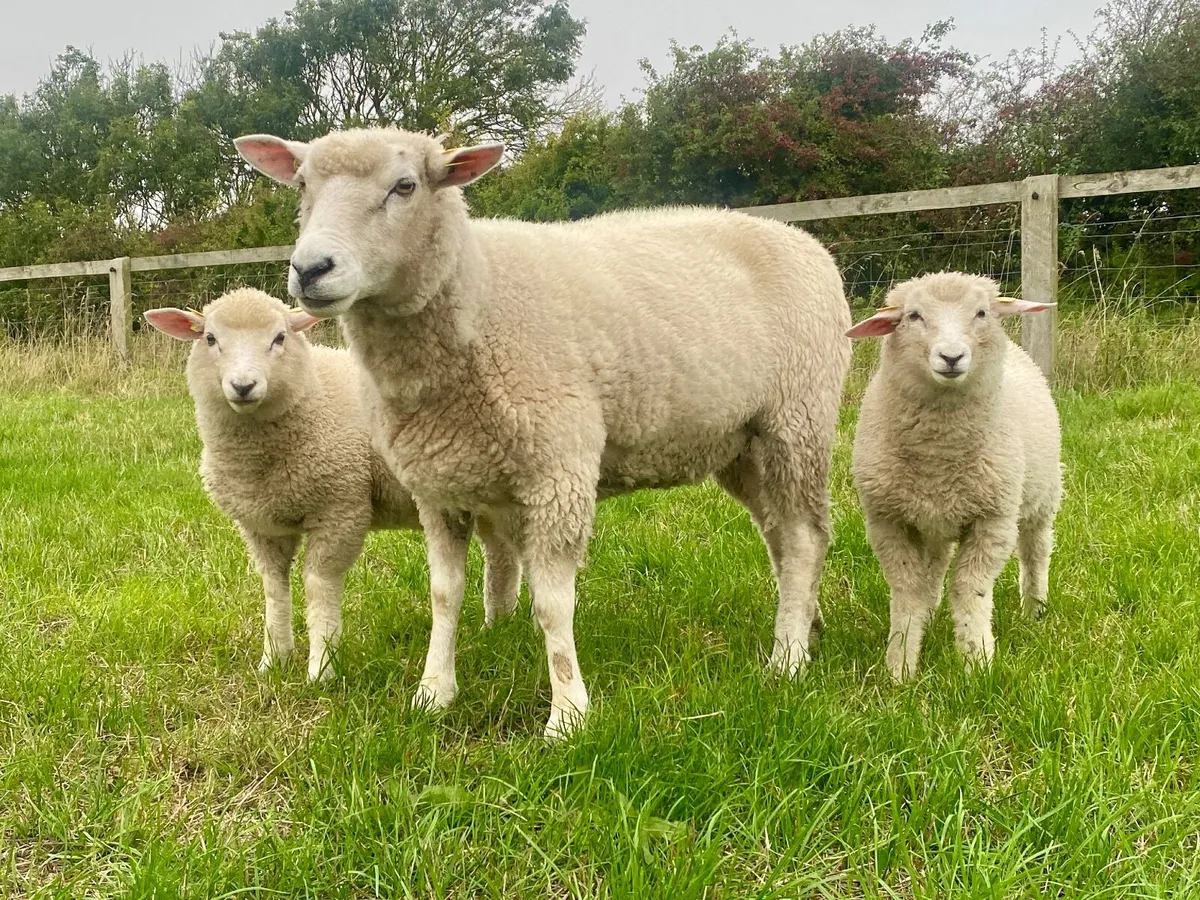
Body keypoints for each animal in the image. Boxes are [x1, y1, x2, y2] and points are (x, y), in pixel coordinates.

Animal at [144, 288, 522, 682]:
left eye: (280, 338)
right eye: (210, 339)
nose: (243, 386)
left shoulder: (341, 508)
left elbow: (318, 584)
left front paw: (321, 668)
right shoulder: (261, 525)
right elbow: (273, 587)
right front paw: (274, 659)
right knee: (502, 555)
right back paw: (498, 626)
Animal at [233, 128, 853, 738]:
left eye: (405, 186)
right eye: (302, 184)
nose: (310, 270)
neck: (480, 295)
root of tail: (805, 241)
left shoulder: (559, 469)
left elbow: (554, 603)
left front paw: (568, 716)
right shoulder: (436, 484)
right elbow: (444, 595)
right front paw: (434, 694)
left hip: (798, 416)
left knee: (802, 535)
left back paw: (787, 657)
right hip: (740, 442)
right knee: (782, 532)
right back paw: (808, 622)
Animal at [846, 272, 1062, 681]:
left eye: (981, 313)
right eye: (913, 316)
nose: (951, 357)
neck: (938, 457)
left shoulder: (993, 520)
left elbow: (968, 588)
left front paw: (977, 662)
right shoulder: (888, 521)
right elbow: (909, 589)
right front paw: (900, 667)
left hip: (1042, 495)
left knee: (1037, 549)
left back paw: (1035, 608)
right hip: (933, 520)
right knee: (934, 569)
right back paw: (930, 616)